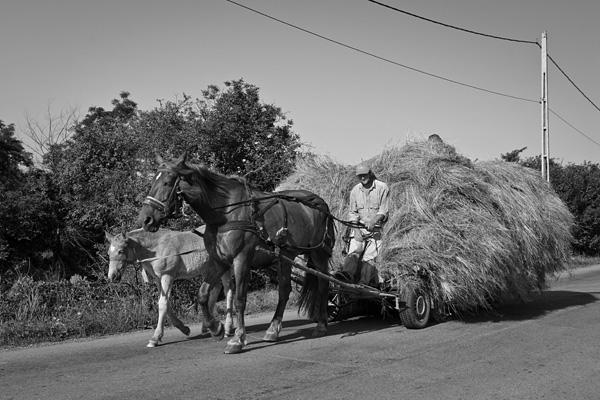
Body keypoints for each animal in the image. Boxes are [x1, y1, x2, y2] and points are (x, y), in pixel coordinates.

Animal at [138, 153, 336, 354]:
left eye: (167, 182)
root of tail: (320, 202)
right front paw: (215, 328)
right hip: (286, 256)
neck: (226, 212)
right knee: (285, 290)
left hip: (318, 253)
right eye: (153, 181)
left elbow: (240, 299)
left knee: (323, 283)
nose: (145, 219)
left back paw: (321, 324)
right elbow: (203, 294)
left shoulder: (241, 259)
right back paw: (273, 329)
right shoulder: (219, 261)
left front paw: (237, 339)